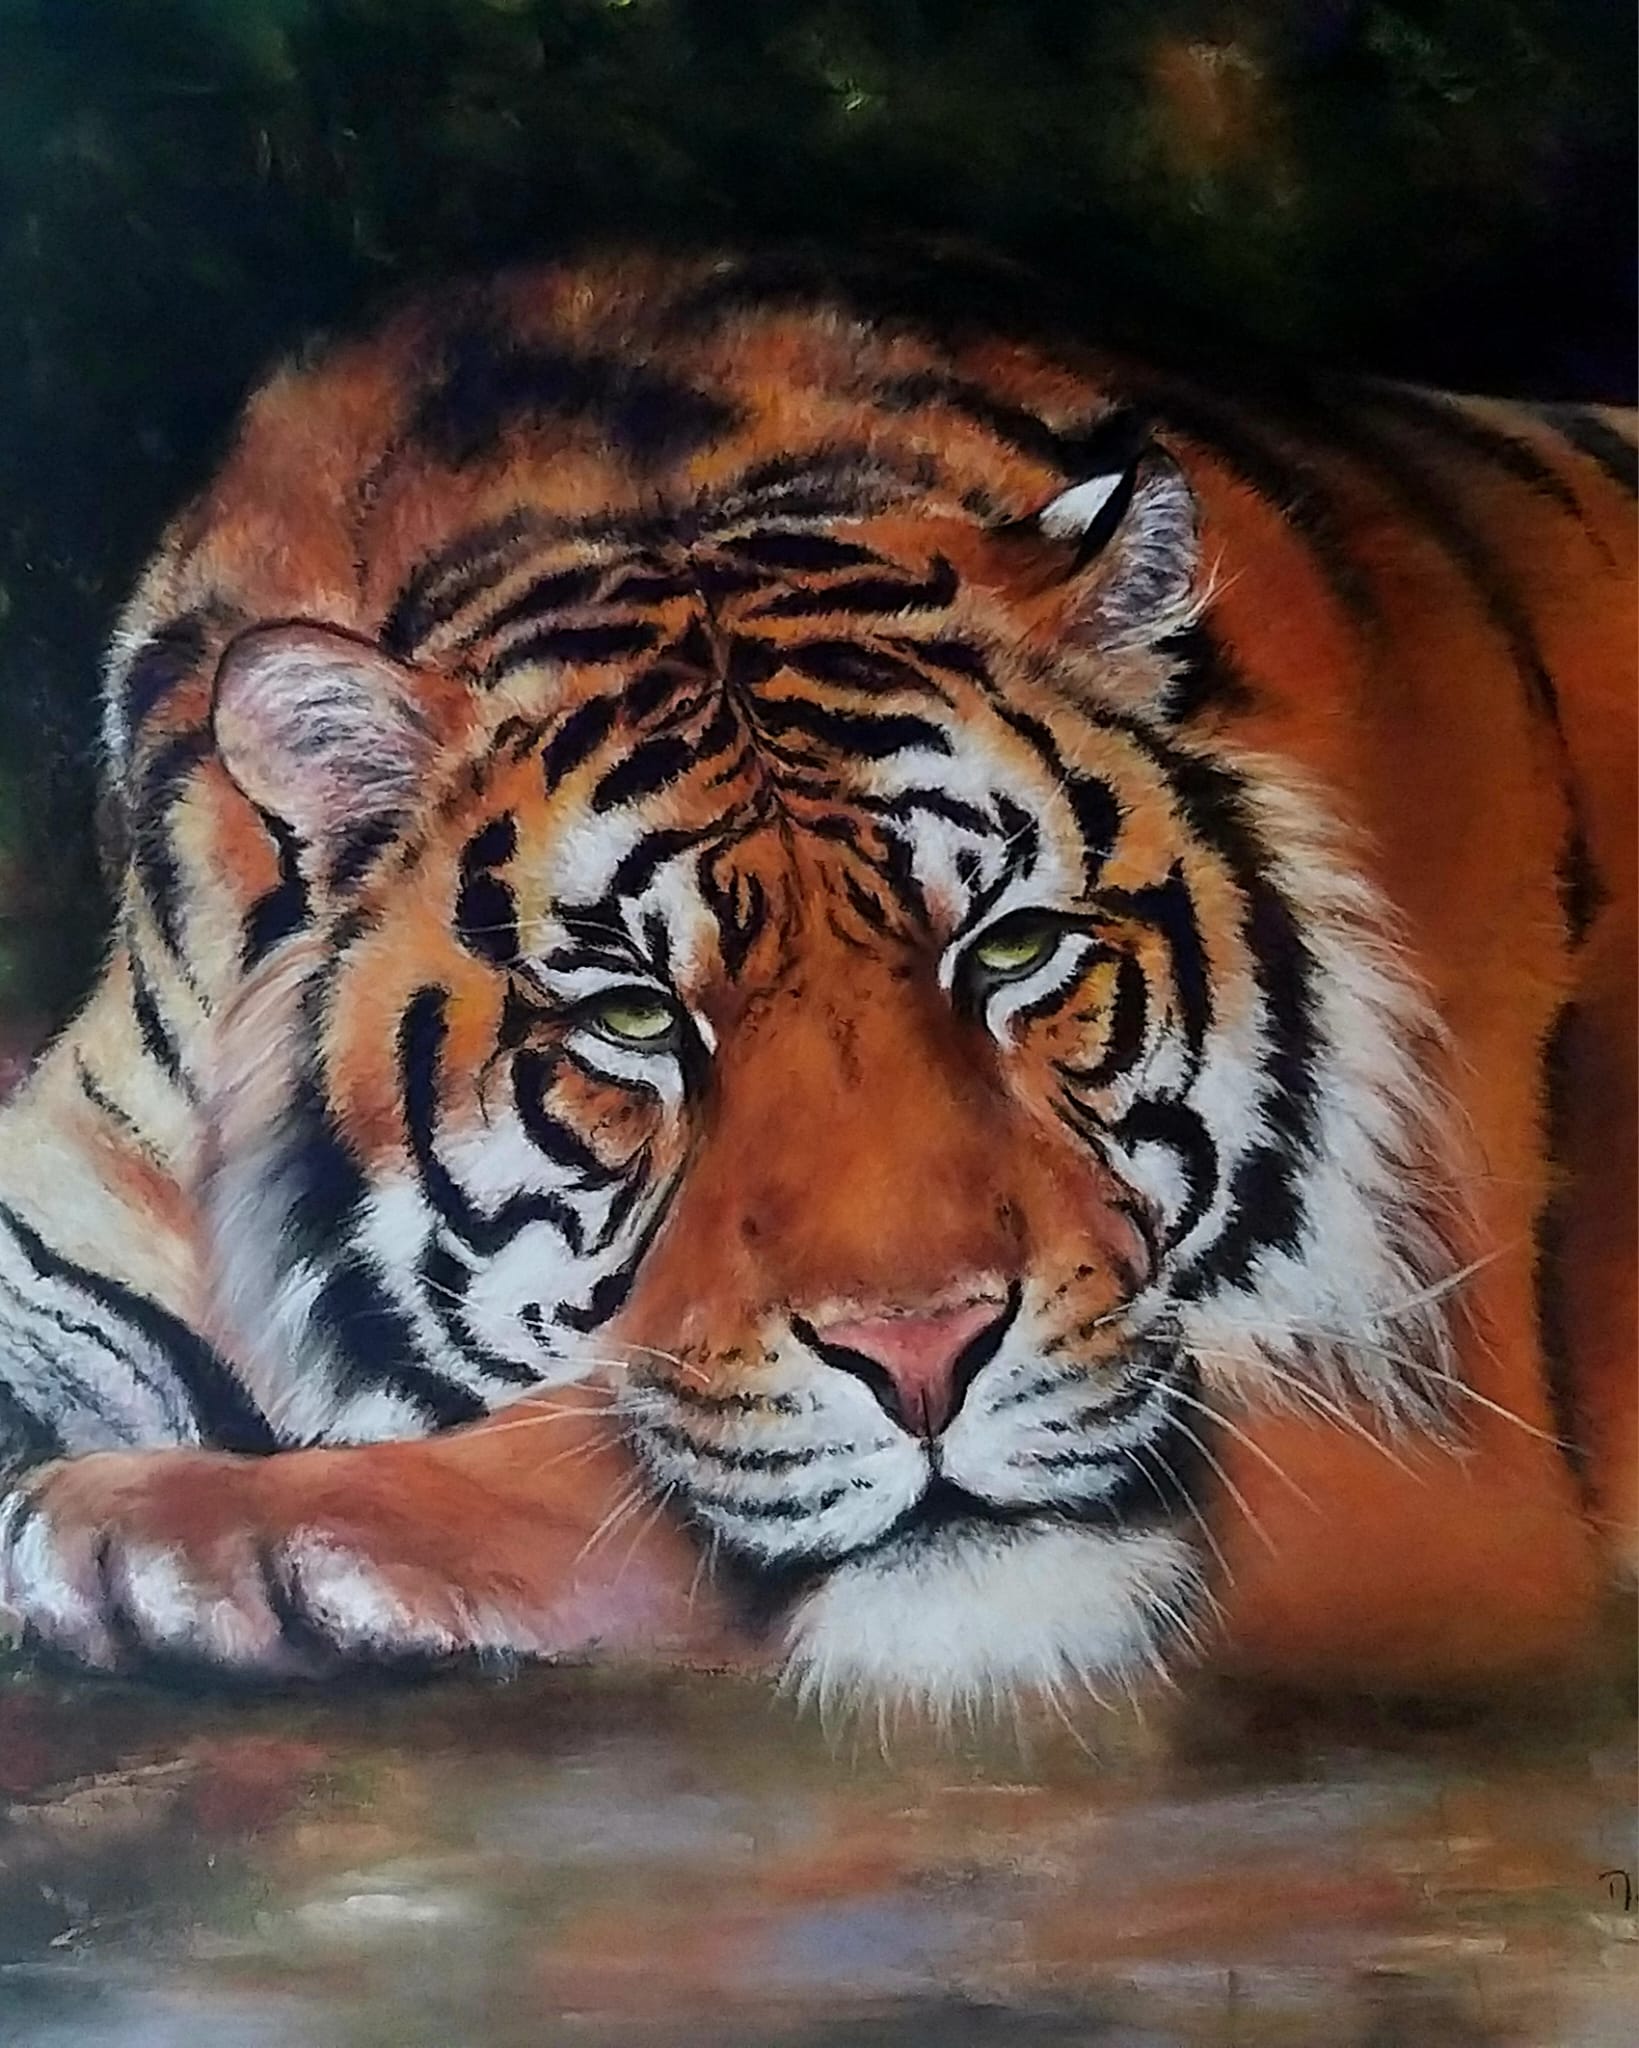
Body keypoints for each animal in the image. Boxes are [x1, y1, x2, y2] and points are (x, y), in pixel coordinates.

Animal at [0, 249, 1630, 1713]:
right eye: (634, 1015)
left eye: (1009, 949)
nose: (922, 1358)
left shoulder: (1426, 1446)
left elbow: (606, 1448)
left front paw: (162, 1522)